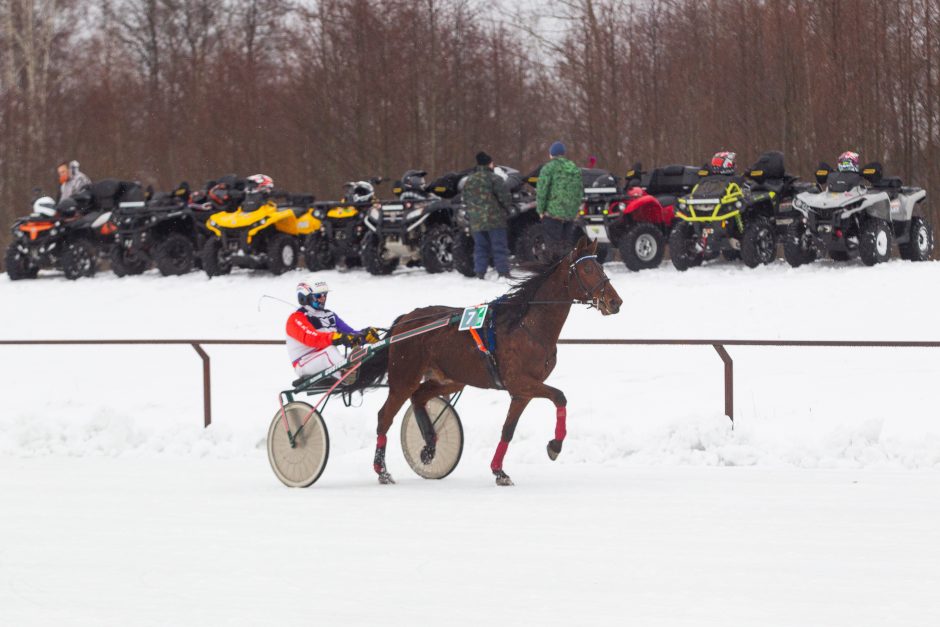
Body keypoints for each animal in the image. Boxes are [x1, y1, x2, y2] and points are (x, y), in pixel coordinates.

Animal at [370, 238, 620, 488]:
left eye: (600, 267)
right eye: (587, 269)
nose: (615, 301)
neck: (525, 325)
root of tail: (405, 319)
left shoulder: (522, 392)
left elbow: (508, 430)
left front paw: (499, 471)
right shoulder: (520, 382)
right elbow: (560, 396)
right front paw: (555, 446)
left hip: (451, 379)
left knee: (419, 397)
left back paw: (430, 445)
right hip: (404, 378)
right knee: (384, 416)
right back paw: (382, 470)